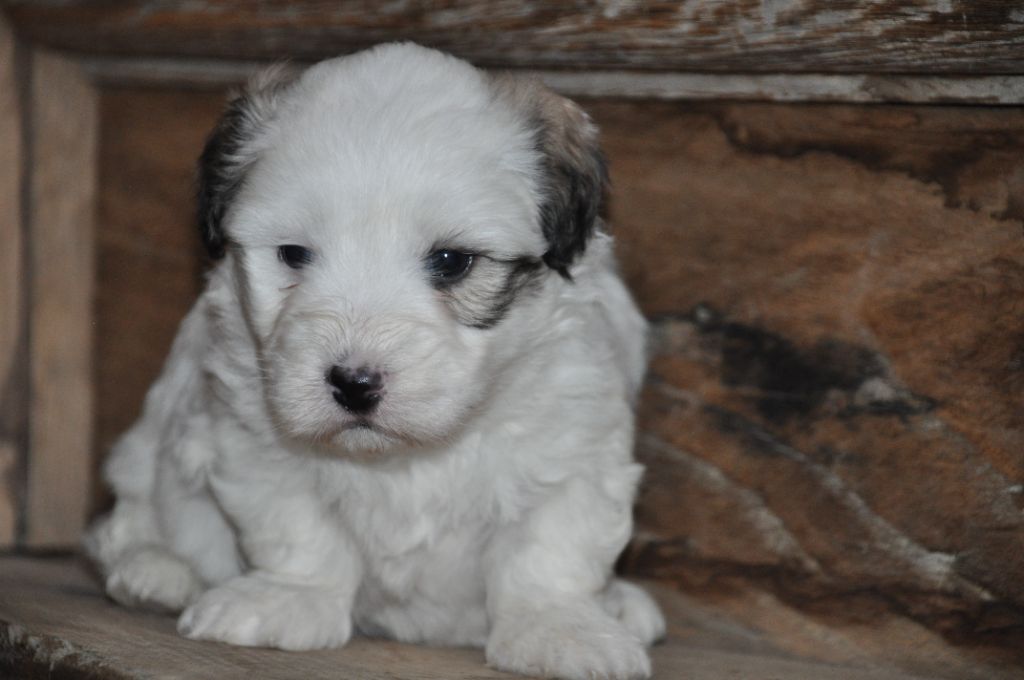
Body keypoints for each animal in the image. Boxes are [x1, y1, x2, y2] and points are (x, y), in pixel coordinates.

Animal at [86, 42, 663, 680]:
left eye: (452, 261)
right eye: (293, 254)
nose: (354, 383)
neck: (401, 458)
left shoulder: (573, 439)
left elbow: (550, 544)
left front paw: (560, 625)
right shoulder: (250, 433)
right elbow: (299, 526)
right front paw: (291, 596)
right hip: (146, 446)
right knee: (129, 518)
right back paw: (156, 570)